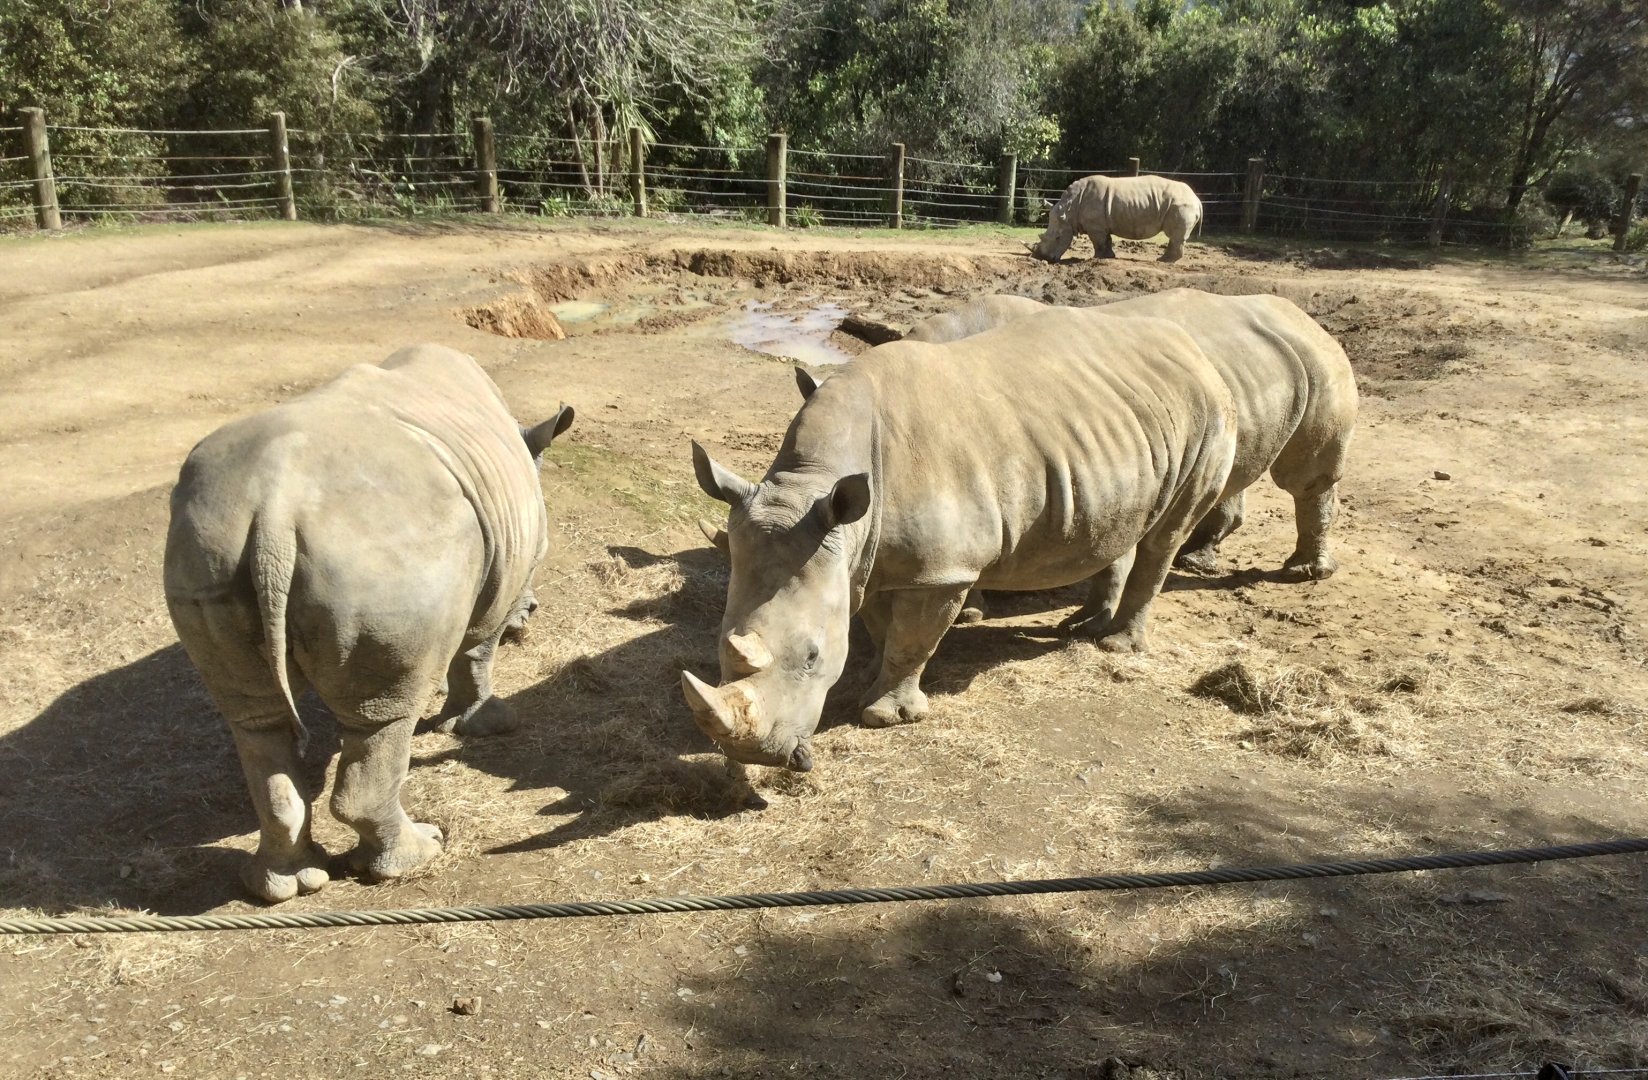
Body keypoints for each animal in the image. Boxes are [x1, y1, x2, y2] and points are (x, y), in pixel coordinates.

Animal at [164, 344, 573, 903]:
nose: (529, 617)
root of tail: (273, 510)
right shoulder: (505, 570)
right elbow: (476, 649)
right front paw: (490, 724)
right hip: (386, 553)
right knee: (384, 716)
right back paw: (421, 853)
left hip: (207, 542)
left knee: (256, 721)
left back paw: (285, 884)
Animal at [682, 306, 1238, 772]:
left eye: (813, 656)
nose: (757, 756)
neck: (813, 482)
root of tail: (1195, 350)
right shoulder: (867, 556)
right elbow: (883, 627)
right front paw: (868, 679)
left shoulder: (941, 570)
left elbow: (913, 638)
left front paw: (885, 716)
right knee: (1124, 524)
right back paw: (1082, 627)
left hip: (1209, 414)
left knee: (1167, 534)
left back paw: (1117, 645)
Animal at [1030, 175, 1203, 263]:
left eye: (1058, 238)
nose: (1042, 258)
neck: (1069, 210)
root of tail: (1197, 199)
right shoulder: (1101, 225)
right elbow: (1106, 240)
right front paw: (1109, 257)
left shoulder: (1096, 227)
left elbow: (1098, 242)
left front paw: (1096, 259)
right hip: (1183, 204)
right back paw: (1165, 260)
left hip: (1182, 205)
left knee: (1174, 236)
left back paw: (1163, 261)